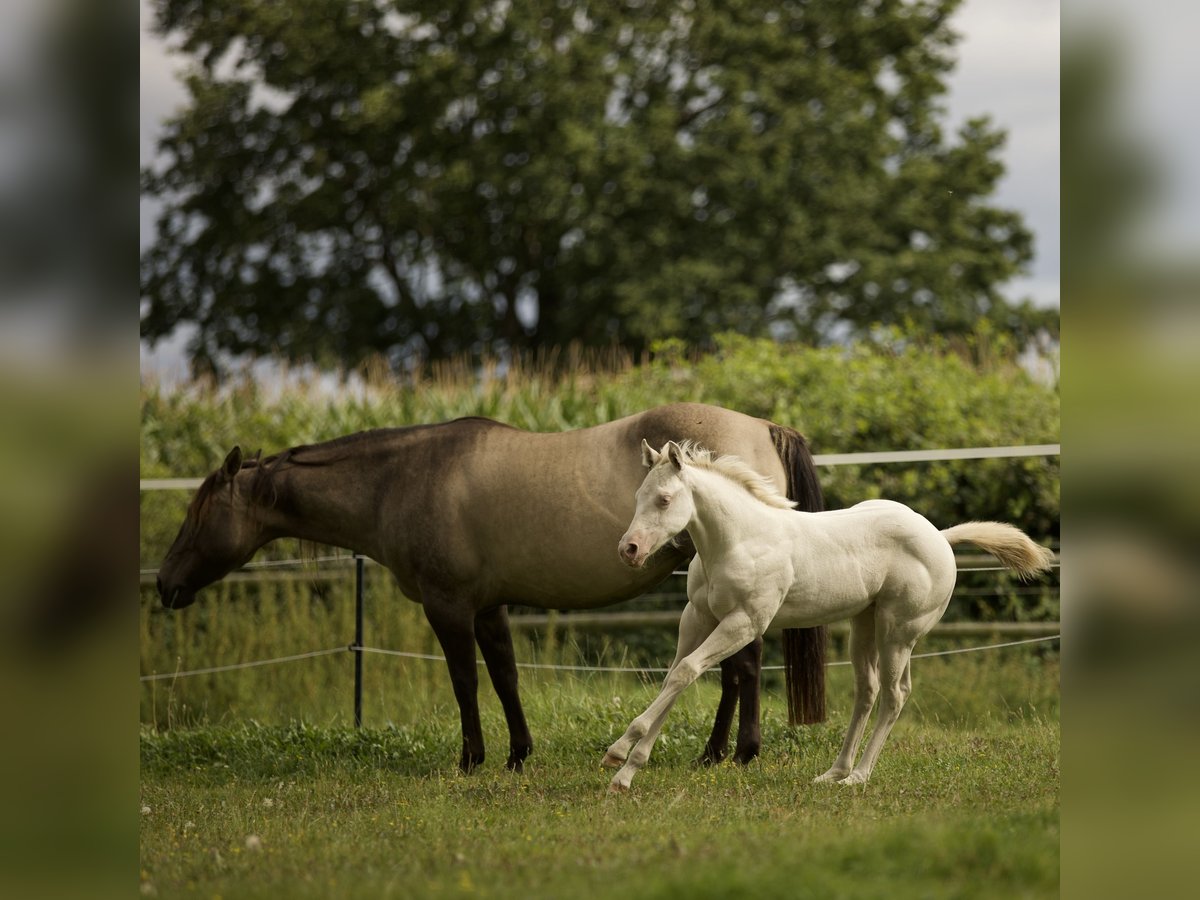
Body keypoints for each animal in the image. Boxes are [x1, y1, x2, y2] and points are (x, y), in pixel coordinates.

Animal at [154, 403, 828, 772]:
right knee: (733, 671)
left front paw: (472, 759)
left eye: (198, 513)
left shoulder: (448, 606)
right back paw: (718, 753)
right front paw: (517, 754)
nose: (164, 584)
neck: (403, 478)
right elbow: (505, 676)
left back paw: (734, 753)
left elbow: (465, 682)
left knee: (741, 669)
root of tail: (762, 425)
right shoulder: (488, 606)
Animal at [602, 440, 1055, 792]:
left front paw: (619, 752)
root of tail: (940, 537)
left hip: (898, 632)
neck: (739, 540)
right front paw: (625, 774)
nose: (629, 550)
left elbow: (685, 672)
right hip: (865, 625)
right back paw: (834, 772)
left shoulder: (745, 622)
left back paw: (859, 777)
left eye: (664, 499)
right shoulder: (697, 618)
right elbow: (675, 676)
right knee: (868, 691)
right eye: (639, 496)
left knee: (894, 695)